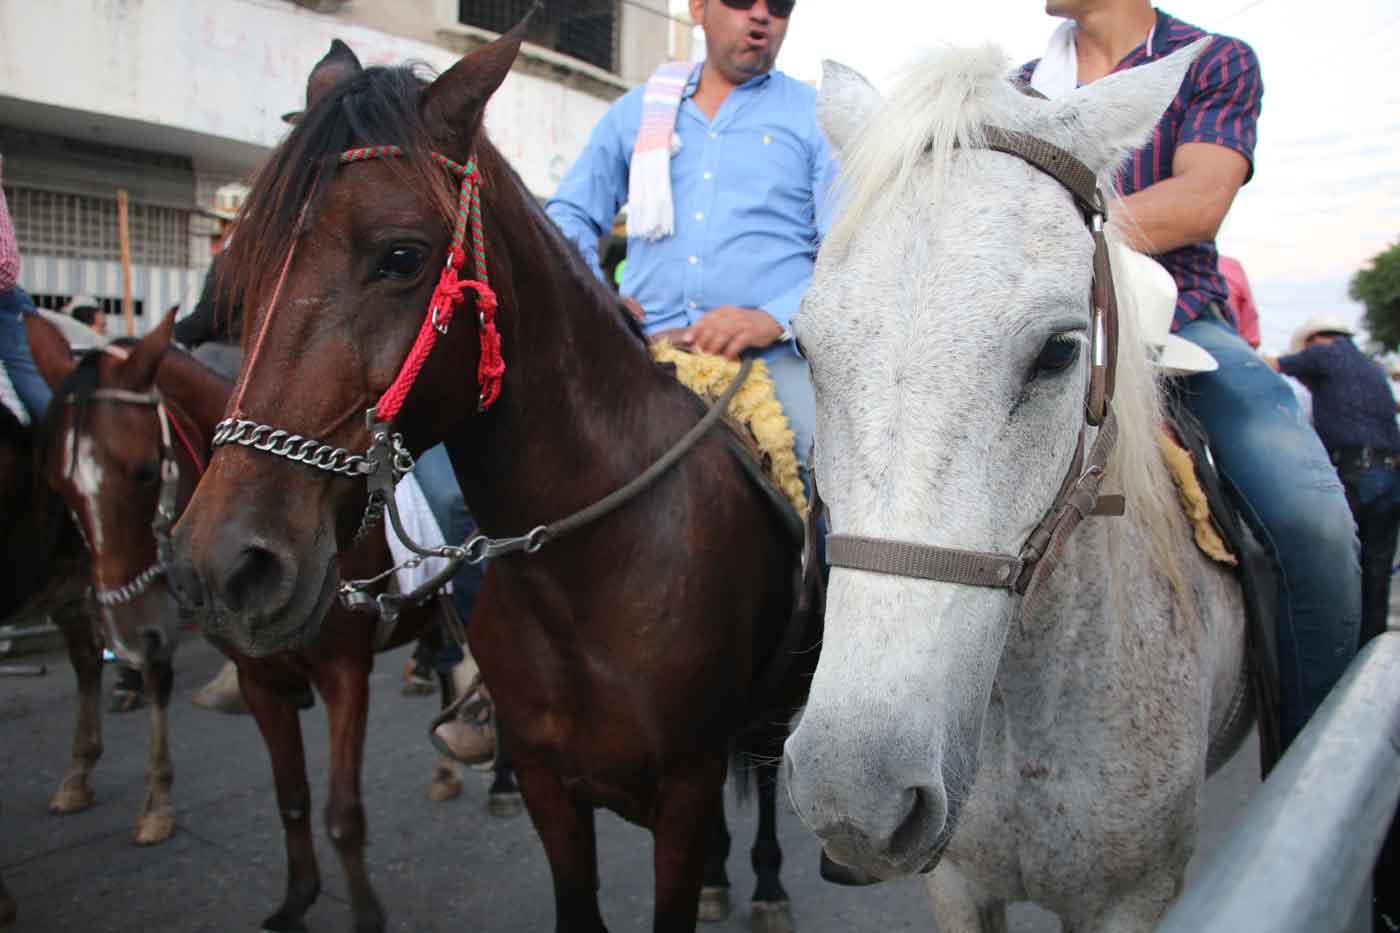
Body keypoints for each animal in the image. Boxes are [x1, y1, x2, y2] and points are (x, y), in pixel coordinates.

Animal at [34, 312, 526, 930]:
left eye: (145, 472)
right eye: (58, 486)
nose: (129, 637)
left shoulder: (346, 671)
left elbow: (343, 811)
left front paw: (365, 913)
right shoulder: (260, 682)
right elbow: (291, 798)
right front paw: (296, 901)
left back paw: (501, 781)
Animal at [168, 25, 817, 930]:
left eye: (402, 255)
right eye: (242, 275)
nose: (223, 562)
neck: (590, 577)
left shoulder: (682, 792)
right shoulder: (552, 786)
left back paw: (763, 882)